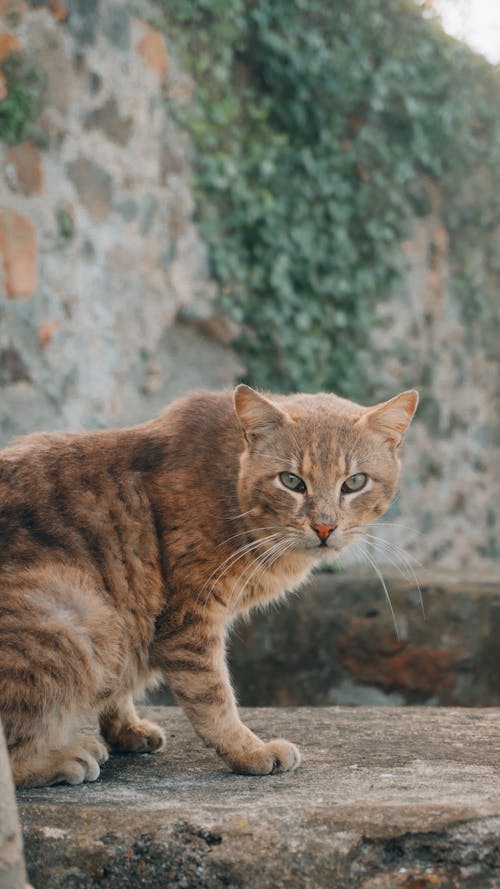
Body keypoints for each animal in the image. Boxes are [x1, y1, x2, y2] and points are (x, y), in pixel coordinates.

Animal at [0, 382, 418, 784]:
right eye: (292, 481)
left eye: (355, 483)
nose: (324, 527)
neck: (231, 486)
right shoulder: (190, 619)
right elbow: (213, 697)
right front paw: (249, 751)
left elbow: (120, 689)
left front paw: (126, 729)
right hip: (82, 618)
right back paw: (62, 757)